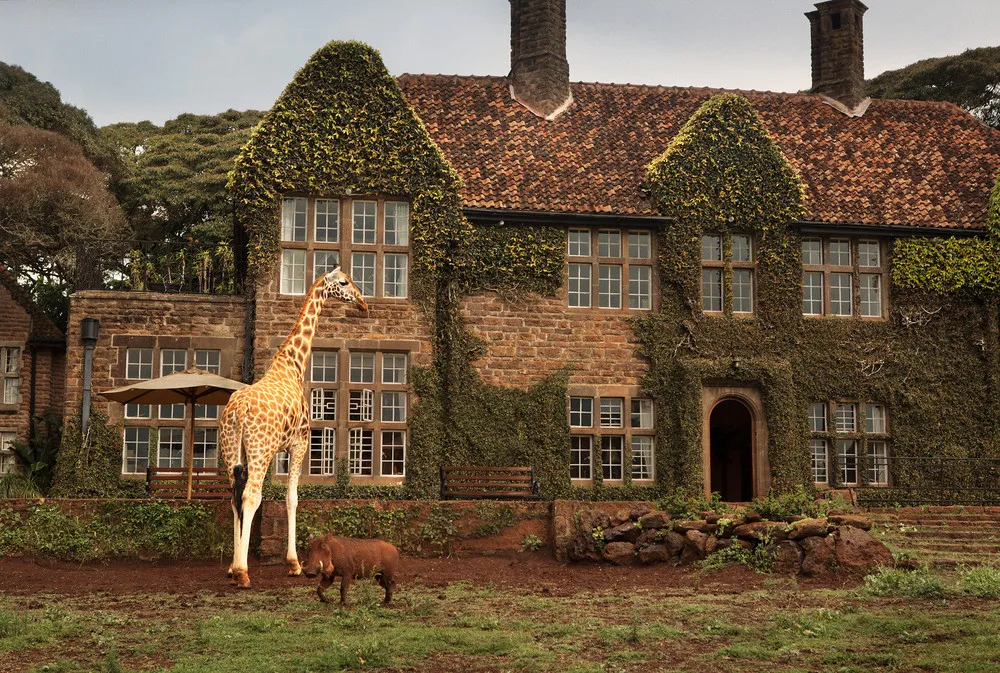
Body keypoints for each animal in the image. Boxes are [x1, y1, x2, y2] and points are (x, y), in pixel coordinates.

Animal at [220, 266, 368, 588]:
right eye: (343, 283)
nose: (363, 303)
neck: (293, 365)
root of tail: (238, 411)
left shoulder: (281, 449)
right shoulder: (300, 442)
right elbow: (292, 498)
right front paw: (294, 564)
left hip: (231, 452)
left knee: (235, 498)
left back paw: (233, 568)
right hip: (259, 451)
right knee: (250, 497)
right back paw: (243, 573)